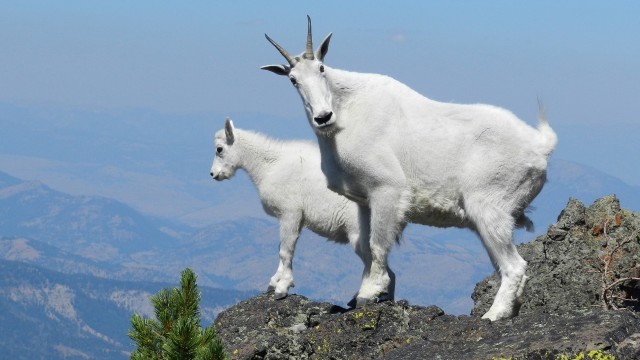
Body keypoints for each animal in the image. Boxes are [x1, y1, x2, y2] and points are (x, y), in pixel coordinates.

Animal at [262, 16, 556, 320]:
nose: (323, 117)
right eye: (293, 80)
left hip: (489, 206)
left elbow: (378, 243)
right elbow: (366, 245)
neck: (345, 114)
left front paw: (370, 292)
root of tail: (540, 146)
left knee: (514, 266)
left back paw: (493, 315)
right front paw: (363, 293)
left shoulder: (386, 189)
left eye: (321, 68)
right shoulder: (364, 200)